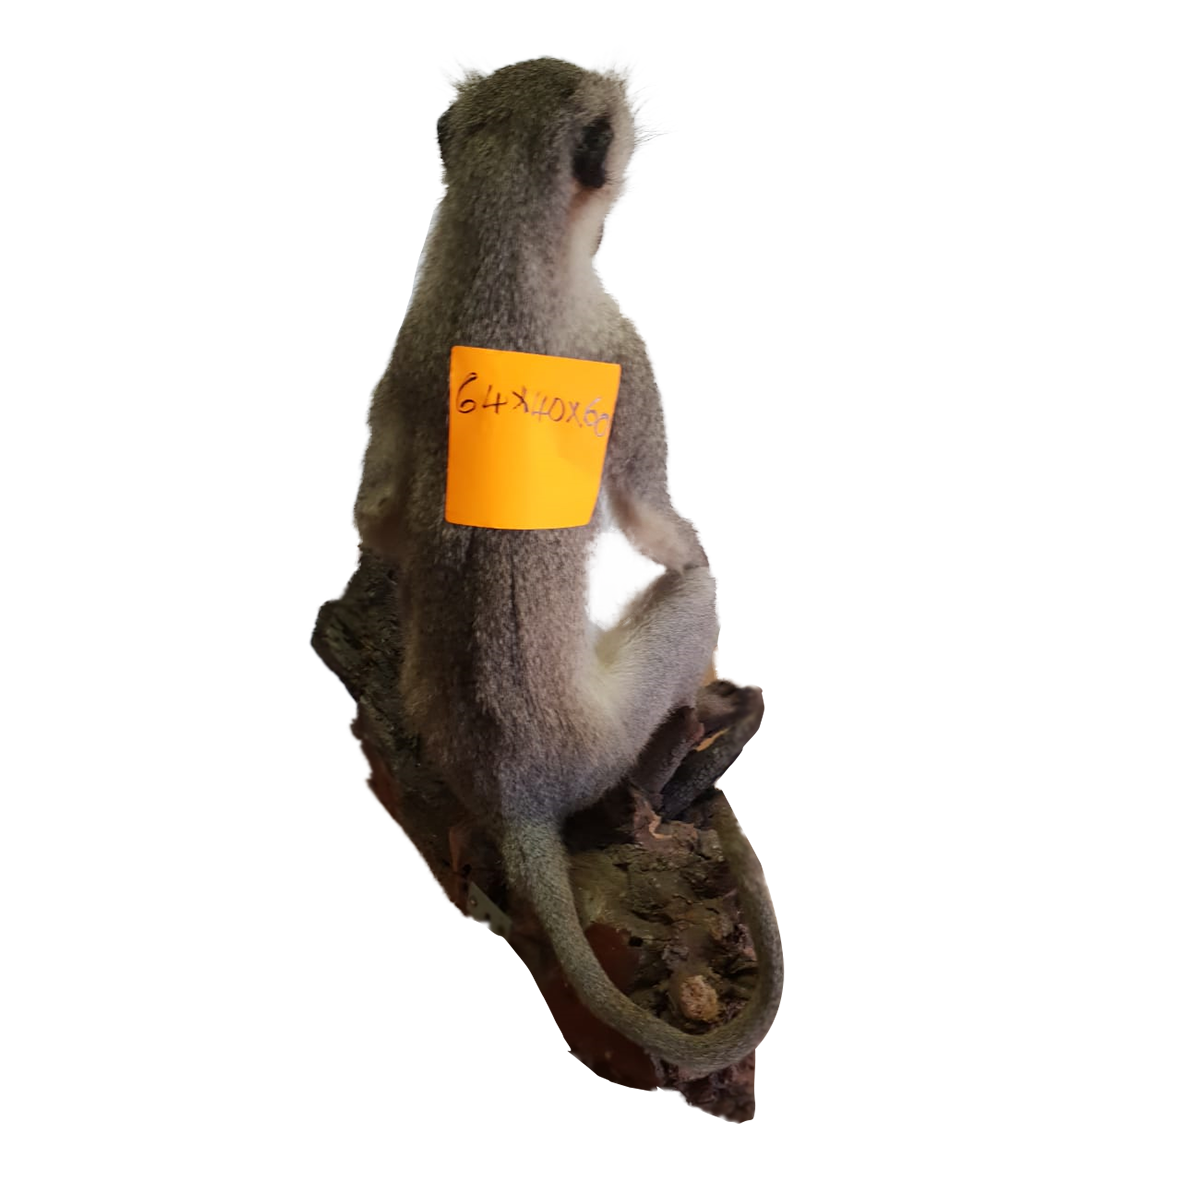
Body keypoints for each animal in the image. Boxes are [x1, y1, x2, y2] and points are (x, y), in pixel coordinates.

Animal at [354, 58, 782, 1078]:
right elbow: (664, 533)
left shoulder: (403, 345)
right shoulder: (624, 346)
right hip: (606, 734)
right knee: (694, 600)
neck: (496, 253)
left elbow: (373, 514)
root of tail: (519, 793)